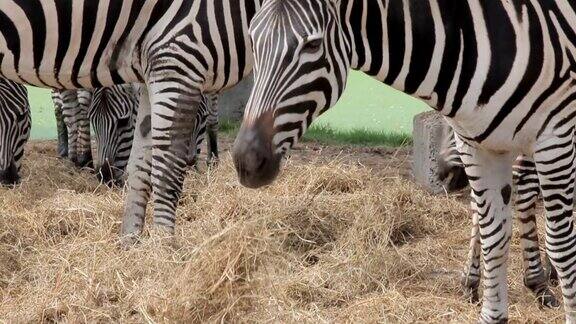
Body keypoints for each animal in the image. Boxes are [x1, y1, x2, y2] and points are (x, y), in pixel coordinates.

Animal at [0, 0, 258, 243]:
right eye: (96, 123)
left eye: (124, 123)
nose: (6, 179)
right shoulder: (180, 56)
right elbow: (167, 169)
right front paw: (162, 247)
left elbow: (141, 166)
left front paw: (131, 242)